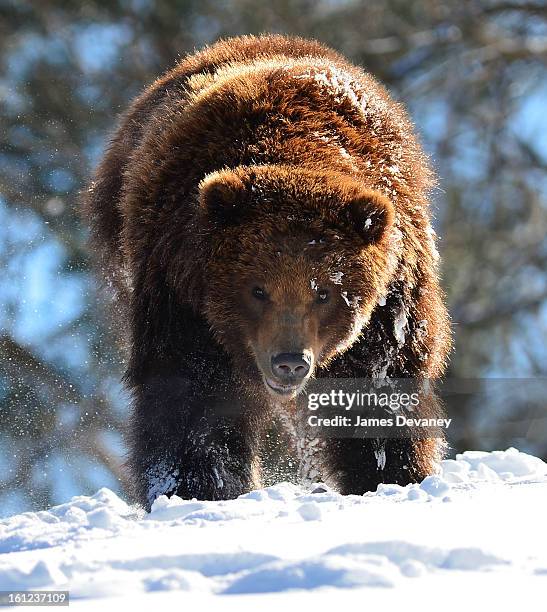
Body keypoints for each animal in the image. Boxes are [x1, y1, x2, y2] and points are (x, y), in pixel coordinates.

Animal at [84, 34, 454, 512]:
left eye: (325, 292)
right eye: (257, 290)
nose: (289, 362)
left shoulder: (391, 302)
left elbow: (381, 387)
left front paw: (390, 473)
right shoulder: (182, 288)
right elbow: (193, 395)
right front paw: (199, 488)